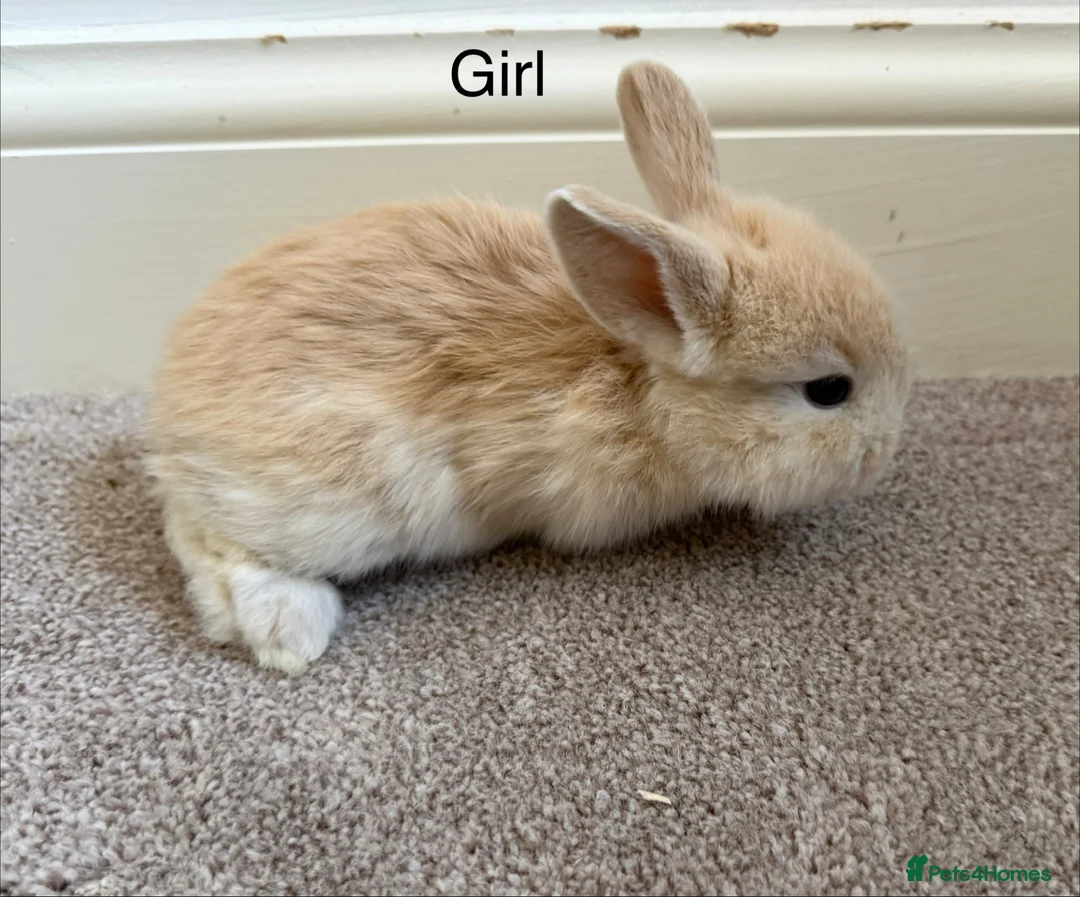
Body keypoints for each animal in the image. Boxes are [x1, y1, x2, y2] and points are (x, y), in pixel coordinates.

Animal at [146, 60, 911, 674]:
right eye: (829, 390)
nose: (884, 457)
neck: (641, 382)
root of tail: (170, 413)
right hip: (331, 502)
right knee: (207, 541)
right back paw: (290, 632)